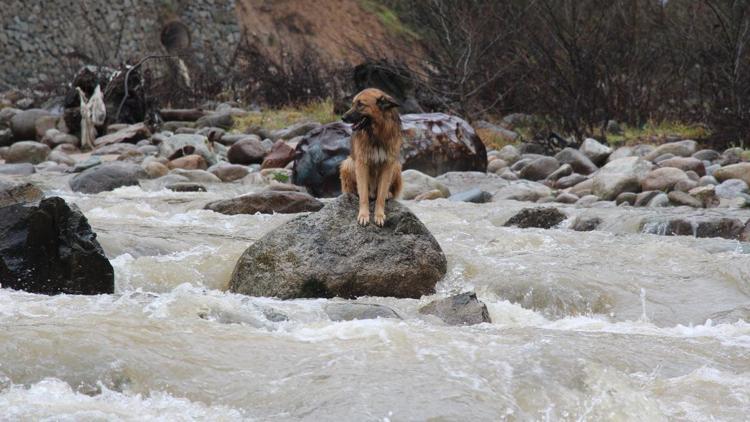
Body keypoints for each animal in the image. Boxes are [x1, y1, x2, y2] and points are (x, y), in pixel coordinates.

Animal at [342, 88, 406, 227]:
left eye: (360, 104)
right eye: (353, 103)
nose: (342, 117)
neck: (377, 133)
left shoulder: (388, 164)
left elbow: (380, 196)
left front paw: (379, 215)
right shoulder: (361, 164)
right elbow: (364, 195)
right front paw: (363, 215)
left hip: (396, 166)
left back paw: (388, 193)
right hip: (348, 163)